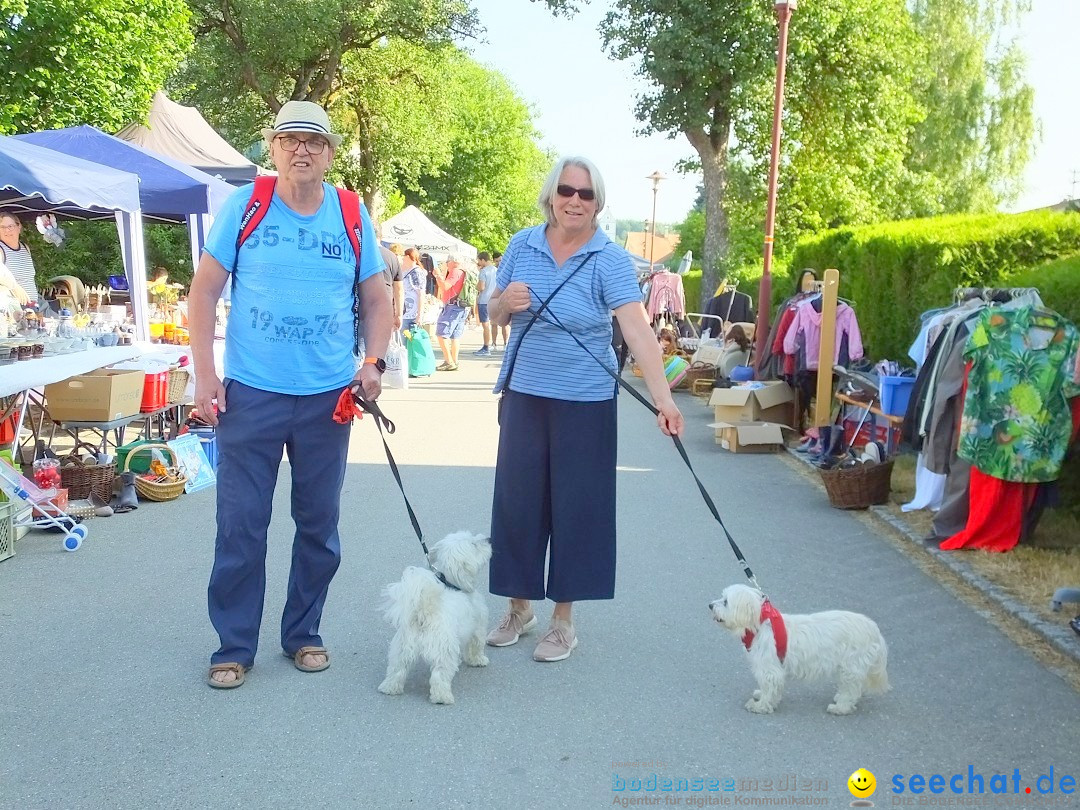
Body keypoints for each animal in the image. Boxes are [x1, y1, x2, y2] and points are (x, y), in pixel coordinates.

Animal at [378, 533, 492, 704]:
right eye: (474, 544)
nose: (488, 539)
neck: (453, 583)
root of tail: (424, 612)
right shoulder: (478, 626)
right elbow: (476, 645)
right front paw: (478, 660)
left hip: (402, 649)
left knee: (397, 670)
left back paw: (390, 688)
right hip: (443, 651)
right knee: (439, 676)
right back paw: (442, 697)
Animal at [708, 583, 885, 717]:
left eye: (725, 601)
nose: (710, 605)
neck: (759, 623)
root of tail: (874, 630)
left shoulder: (770, 669)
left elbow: (769, 686)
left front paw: (761, 706)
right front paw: (763, 697)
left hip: (851, 665)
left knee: (851, 689)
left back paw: (840, 707)